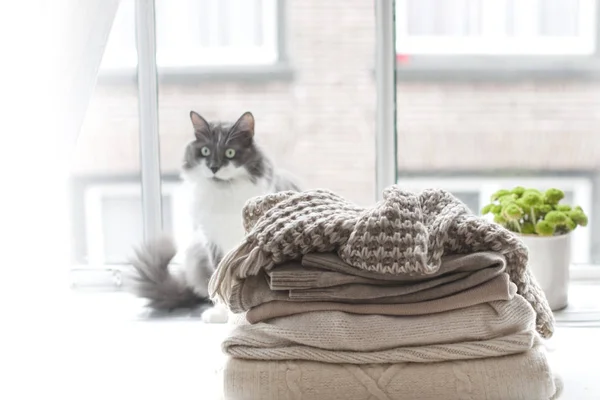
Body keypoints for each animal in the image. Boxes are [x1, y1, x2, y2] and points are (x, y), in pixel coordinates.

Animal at [128, 111, 302, 324]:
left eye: (230, 153)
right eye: (205, 151)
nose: (213, 167)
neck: (224, 195)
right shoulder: (212, 242)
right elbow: (219, 279)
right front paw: (221, 313)